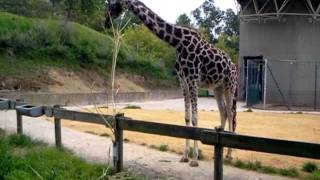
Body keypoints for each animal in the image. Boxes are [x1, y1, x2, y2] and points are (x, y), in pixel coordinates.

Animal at [106, 0, 239, 167]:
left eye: (113, 4)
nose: (106, 21)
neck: (178, 42)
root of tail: (235, 67)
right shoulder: (183, 80)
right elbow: (187, 117)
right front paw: (185, 156)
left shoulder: (193, 78)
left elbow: (195, 118)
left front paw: (194, 159)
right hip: (217, 87)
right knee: (224, 111)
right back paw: (220, 137)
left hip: (230, 85)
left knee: (231, 112)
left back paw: (229, 155)